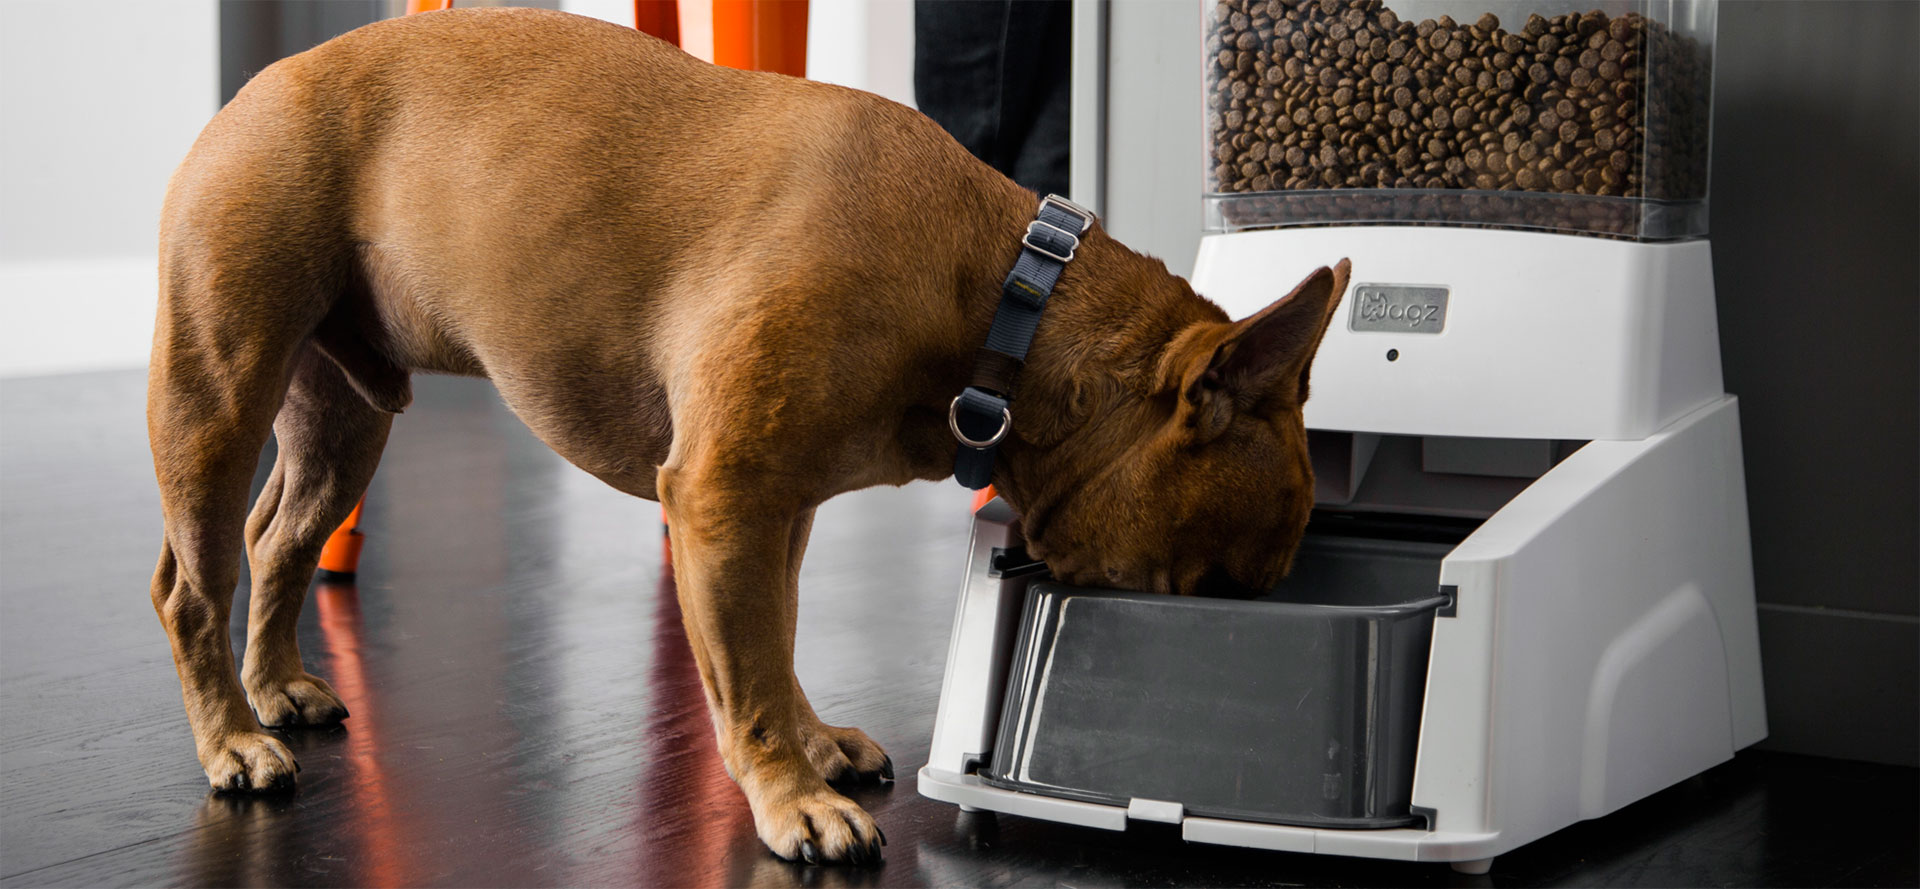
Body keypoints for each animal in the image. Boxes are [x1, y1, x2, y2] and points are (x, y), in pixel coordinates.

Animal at [145, 5, 1351, 871]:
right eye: (1233, 586)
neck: (1007, 299)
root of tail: (265, 80)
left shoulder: (779, 510)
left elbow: (776, 637)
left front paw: (814, 749)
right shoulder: (725, 497)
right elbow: (752, 669)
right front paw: (794, 800)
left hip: (343, 416)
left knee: (279, 539)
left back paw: (278, 688)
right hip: (217, 388)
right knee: (193, 582)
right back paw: (231, 740)